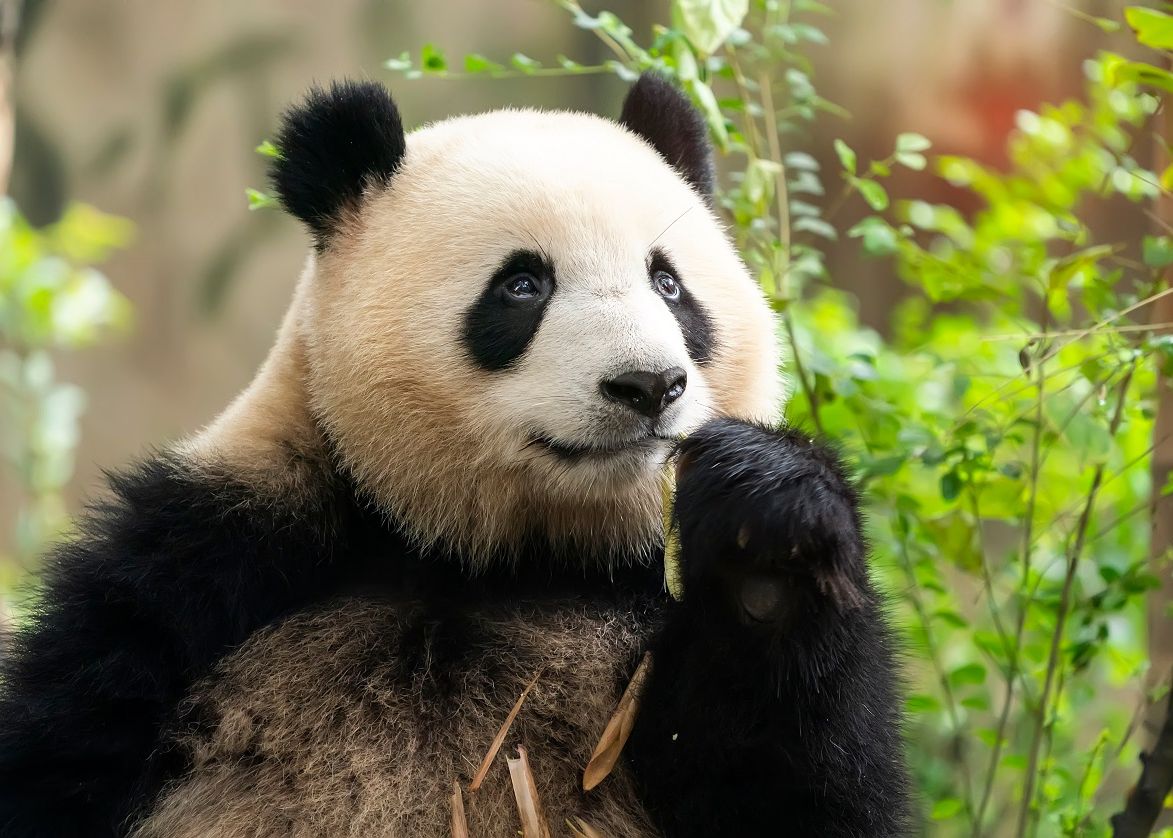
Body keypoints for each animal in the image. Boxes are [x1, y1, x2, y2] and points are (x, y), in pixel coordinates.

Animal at [0, 75, 910, 837]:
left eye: (668, 285)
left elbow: (796, 791)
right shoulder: (211, 558)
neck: (486, 555)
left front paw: (766, 534)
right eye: (522, 285)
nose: (649, 386)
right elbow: (62, 750)